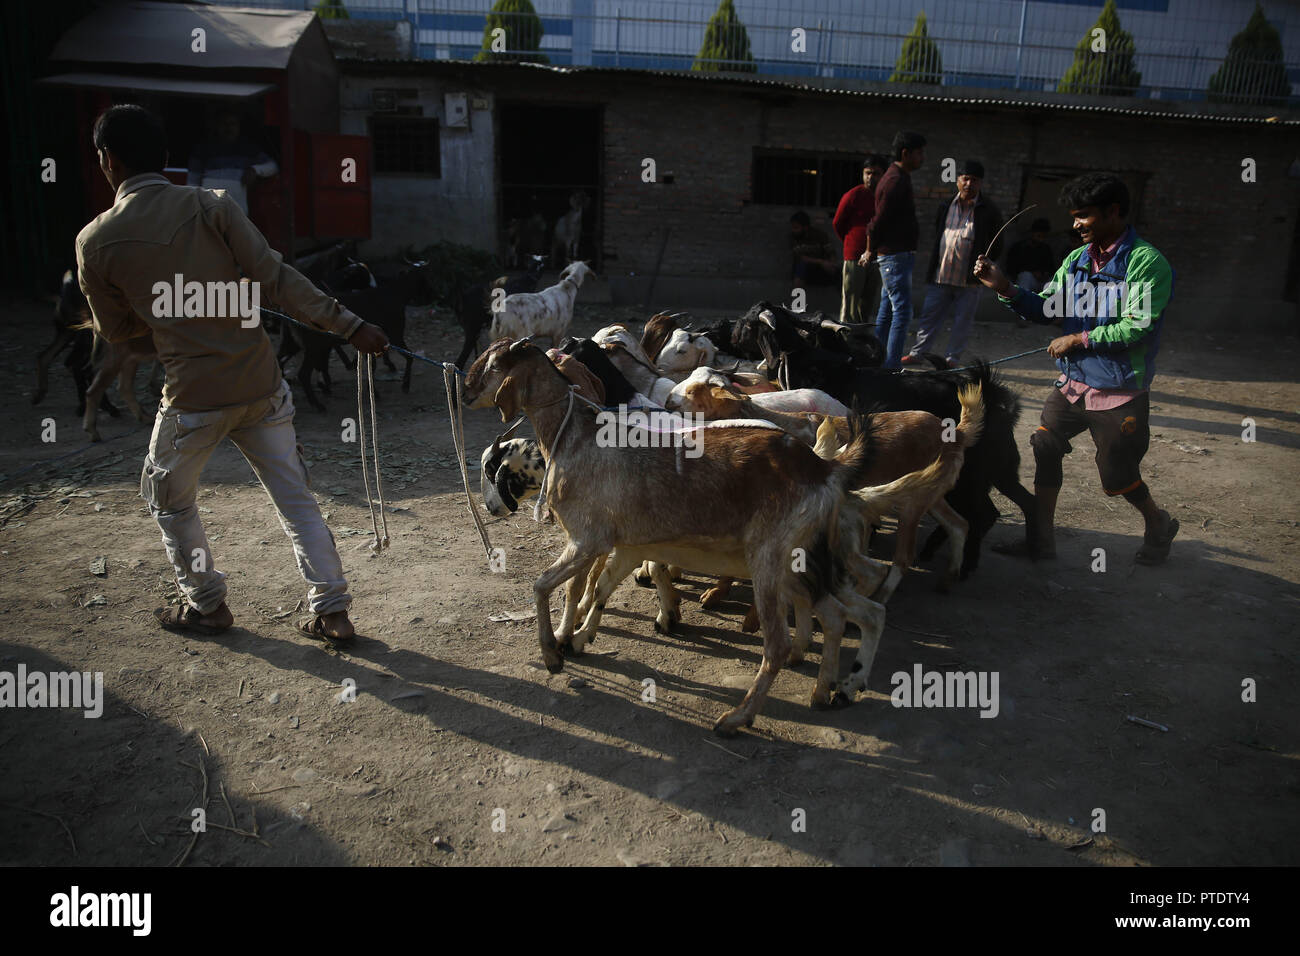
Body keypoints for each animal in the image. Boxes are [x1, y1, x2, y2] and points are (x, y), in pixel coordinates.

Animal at [467, 338, 915, 733]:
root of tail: (825, 468)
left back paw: (738, 718)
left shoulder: (587, 539)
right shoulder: (620, 543)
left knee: (780, 643)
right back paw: (835, 690)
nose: (466, 391)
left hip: (771, 561)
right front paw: (575, 638)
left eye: (492, 364)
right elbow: (595, 587)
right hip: (802, 563)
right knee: (854, 613)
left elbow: (548, 586)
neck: (574, 437)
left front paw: (553, 652)